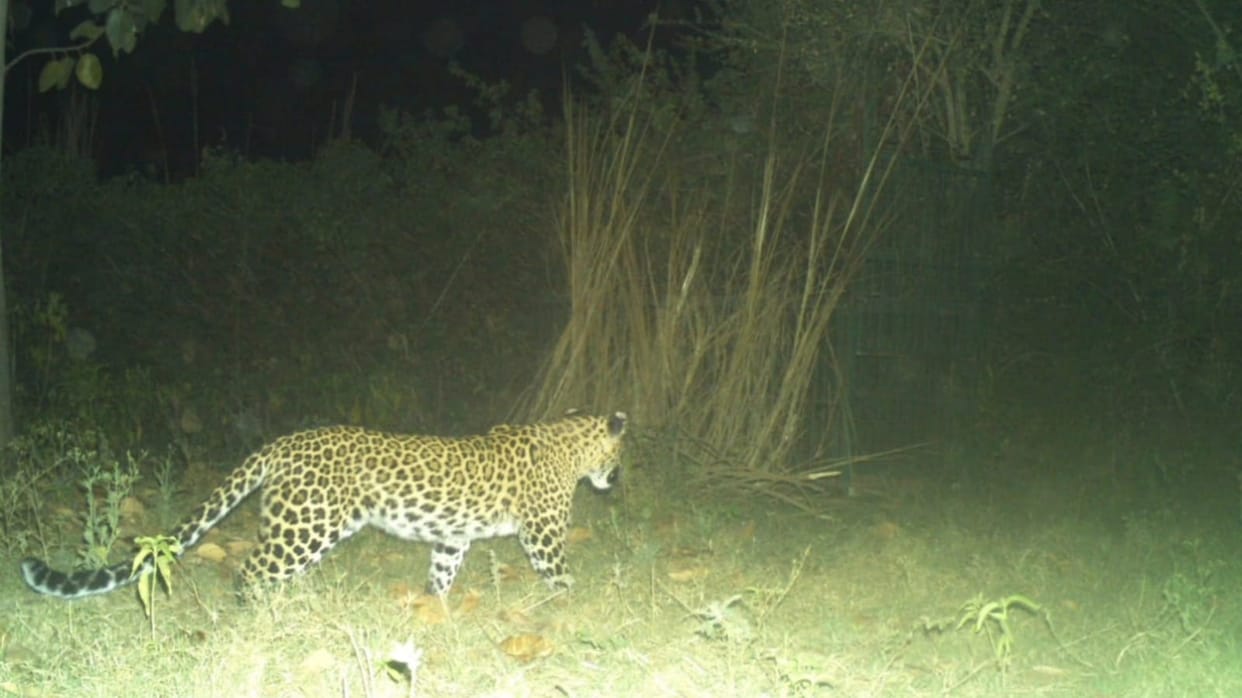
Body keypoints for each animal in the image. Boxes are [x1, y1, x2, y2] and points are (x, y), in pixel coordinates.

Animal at [21, 410, 627, 600]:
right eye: (622, 450)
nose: (617, 478)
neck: (569, 444)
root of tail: (283, 442)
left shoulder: (452, 537)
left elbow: (442, 571)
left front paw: (436, 609)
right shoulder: (542, 534)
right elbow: (561, 575)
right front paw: (574, 606)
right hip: (307, 526)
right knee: (251, 570)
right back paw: (264, 614)